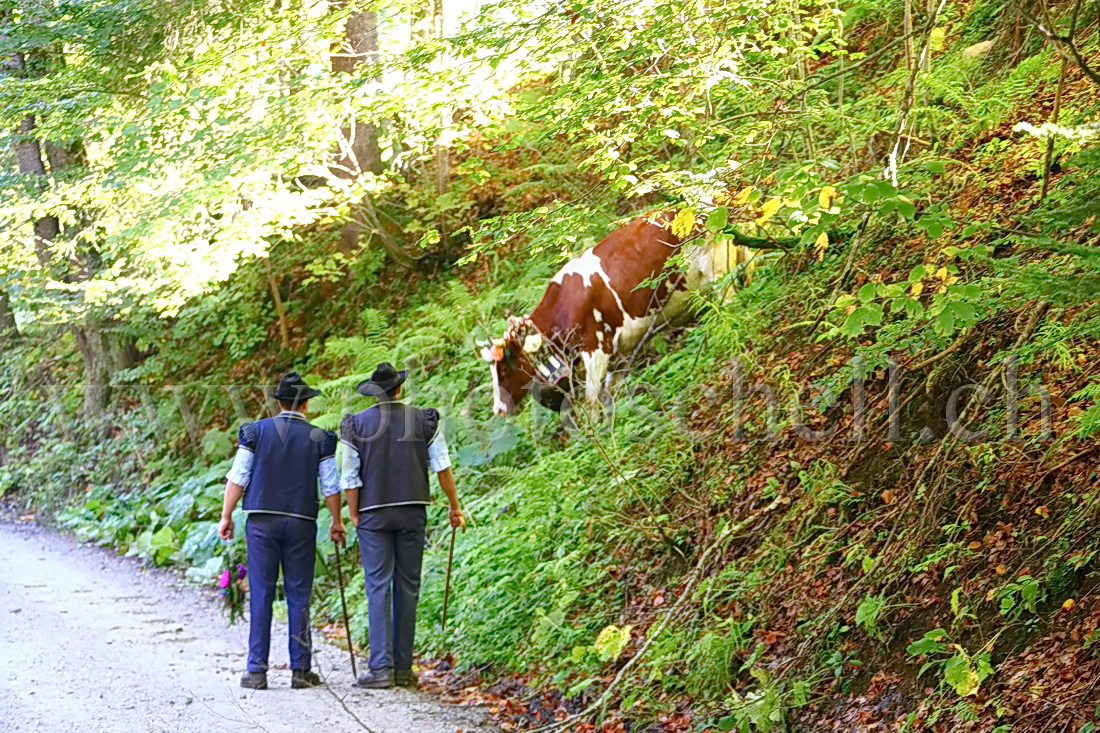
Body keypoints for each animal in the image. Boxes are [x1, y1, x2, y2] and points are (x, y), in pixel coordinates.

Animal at [481, 211, 756, 416]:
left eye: (503, 370)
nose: (498, 410)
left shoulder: (596, 350)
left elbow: (592, 401)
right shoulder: (620, 355)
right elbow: (614, 394)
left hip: (717, 269)